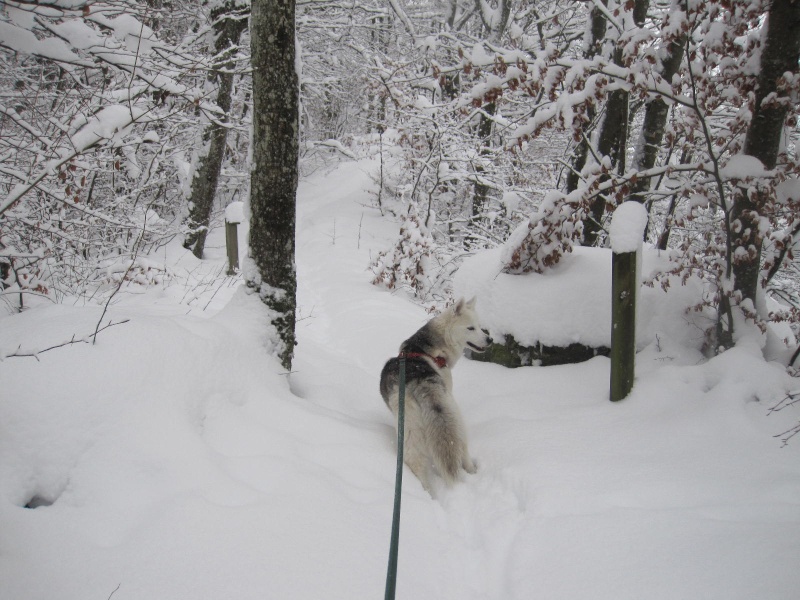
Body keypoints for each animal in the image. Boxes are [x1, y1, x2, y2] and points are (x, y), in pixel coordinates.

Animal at [378, 298, 490, 494]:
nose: (490, 340)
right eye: (471, 328)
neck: (428, 349)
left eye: (479, 326)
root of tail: (420, 381)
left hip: (413, 427)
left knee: (418, 461)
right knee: (463, 451)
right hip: (453, 417)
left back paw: (428, 494)